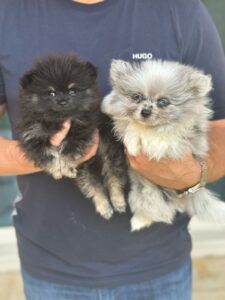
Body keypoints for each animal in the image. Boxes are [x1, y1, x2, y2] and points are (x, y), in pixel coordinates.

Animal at [16, 54, 127, 219]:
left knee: (113, 178)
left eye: (72, 91)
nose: (63, 101)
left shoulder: (83, 131)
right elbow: (46, 153)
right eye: (51, 93)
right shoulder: (32, 136)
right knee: (95, 187)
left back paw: (117, 201)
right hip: (85, 170)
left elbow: (68, 150)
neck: (57, 121)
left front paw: (65, 166)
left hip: (108, 154)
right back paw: (104, 206)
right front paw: (56, 169)